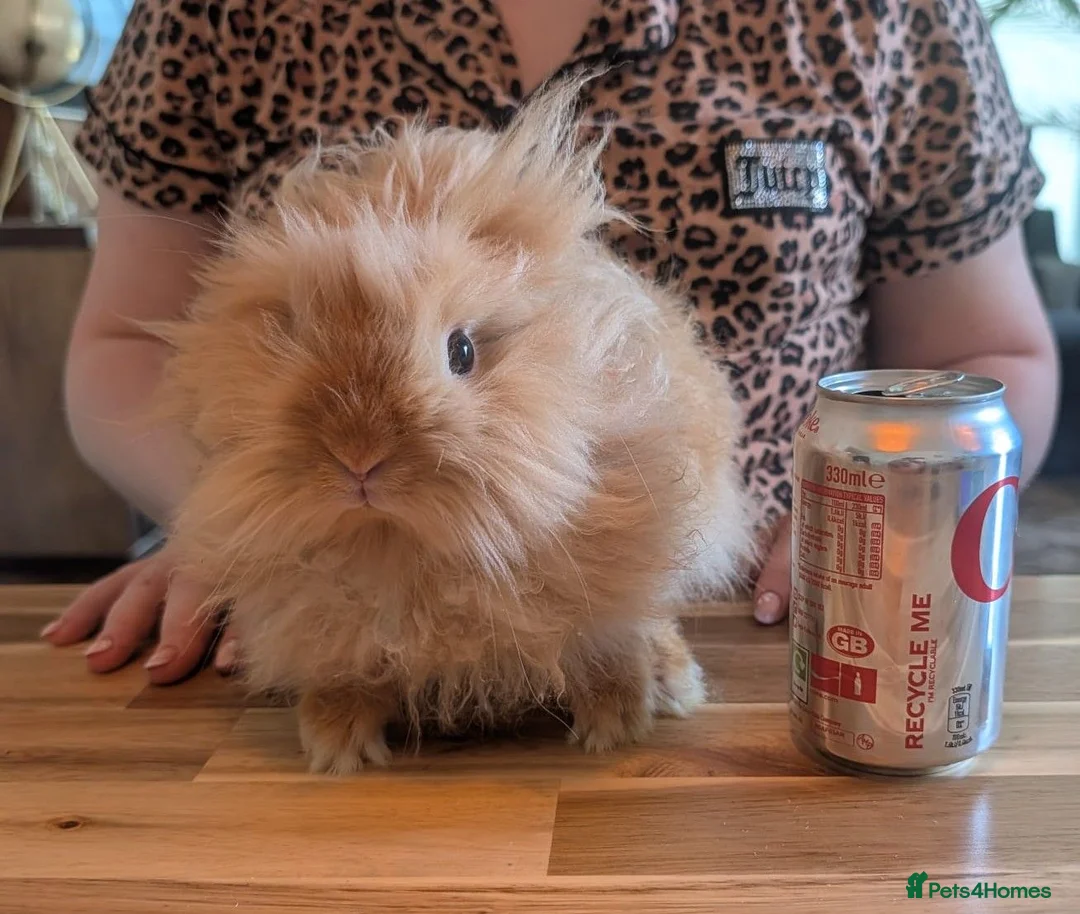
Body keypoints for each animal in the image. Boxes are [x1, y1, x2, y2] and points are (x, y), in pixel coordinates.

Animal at [152, 76, 757, 774]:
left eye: (462, 351)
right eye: (295, 338)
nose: (358, 457)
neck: (401, 548)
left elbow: (609, 648)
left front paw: (615, 725)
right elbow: (347, 669)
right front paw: (335, 745)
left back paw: (669, 683)